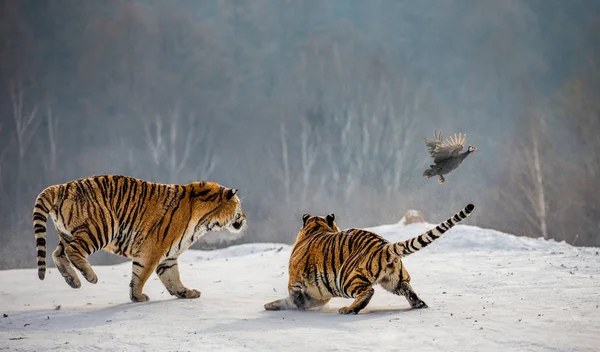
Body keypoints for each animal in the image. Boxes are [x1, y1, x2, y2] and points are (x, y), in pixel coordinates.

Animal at [32, 176, 248, 302]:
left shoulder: (169, 256)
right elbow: (141, 274)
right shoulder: (151, 250)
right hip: (100, 228)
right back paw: (90, 276)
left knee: (57, 254)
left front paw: (186, 293)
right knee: (72, 251)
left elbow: (173, 277)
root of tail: (63, 186)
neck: (204, 222)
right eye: (239, 206)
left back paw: (73, 280)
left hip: (68, 234)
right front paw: (137, 296)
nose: (245, 218)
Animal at [262, 202, 474, 314]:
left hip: (347, 279)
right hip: (395, 280)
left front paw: (279, 305)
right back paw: (419, 304)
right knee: (408, 289)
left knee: (367, 291)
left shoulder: (297, 284)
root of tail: (384, 245)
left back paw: (348, 310)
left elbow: (293, 298)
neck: (316, 227)